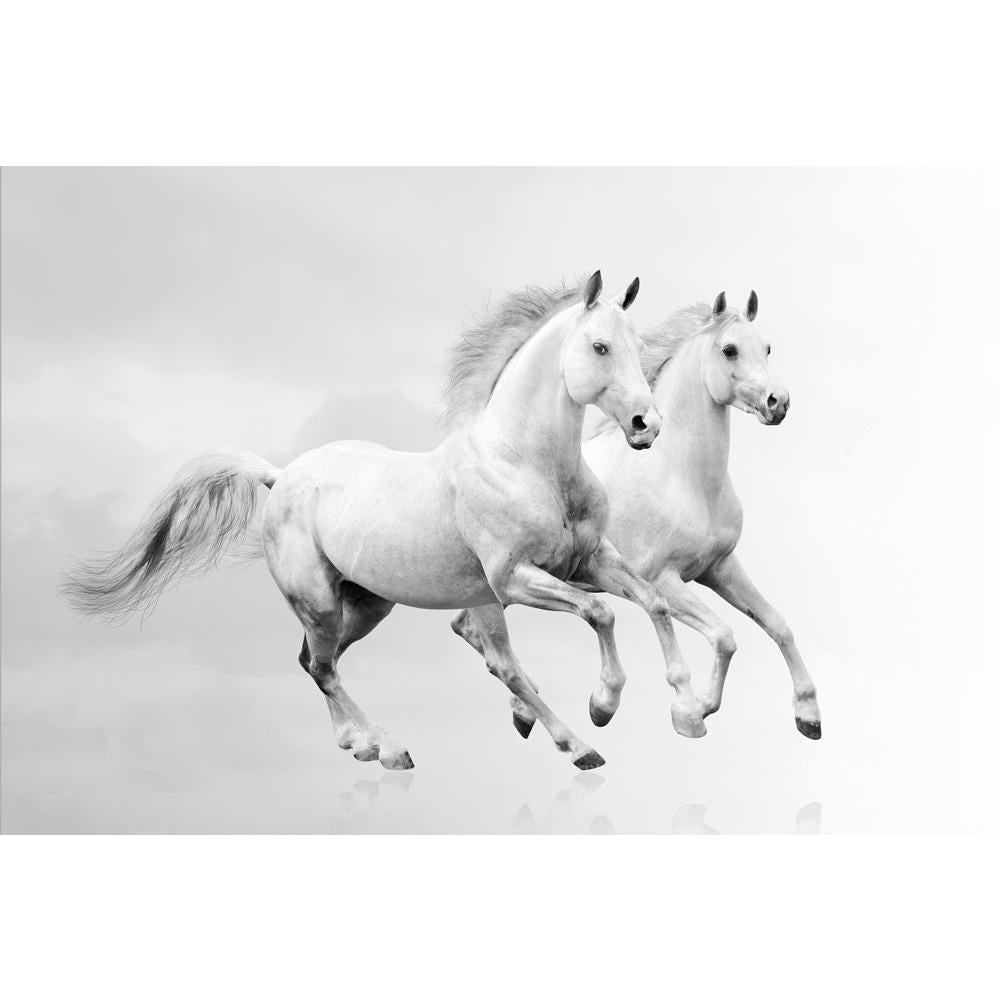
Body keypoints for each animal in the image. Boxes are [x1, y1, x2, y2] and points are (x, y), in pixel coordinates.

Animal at [64, 270, 701, 771]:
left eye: (636, 344)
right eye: (599, 347)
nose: (647, 424)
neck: (525, 463)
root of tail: (281, 477)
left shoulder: (591, 560)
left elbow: (653, 602)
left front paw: (686, 711)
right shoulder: (513, 579)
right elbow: (600, 613)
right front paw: (604, 705)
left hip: (368, 604)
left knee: (319, 662)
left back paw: (361, 745)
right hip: (322, 603)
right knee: (327, 667)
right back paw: (401, 750)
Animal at [452, 289, 822, 740]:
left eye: (767, 347)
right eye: (729, 349)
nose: (778, 402)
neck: (682, 477)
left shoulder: (719, 568)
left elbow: (778, 625)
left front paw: (809, 716)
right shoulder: (664, 579)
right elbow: (723, 635)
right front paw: (693, 711)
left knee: (466, 628)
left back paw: (525, 713)